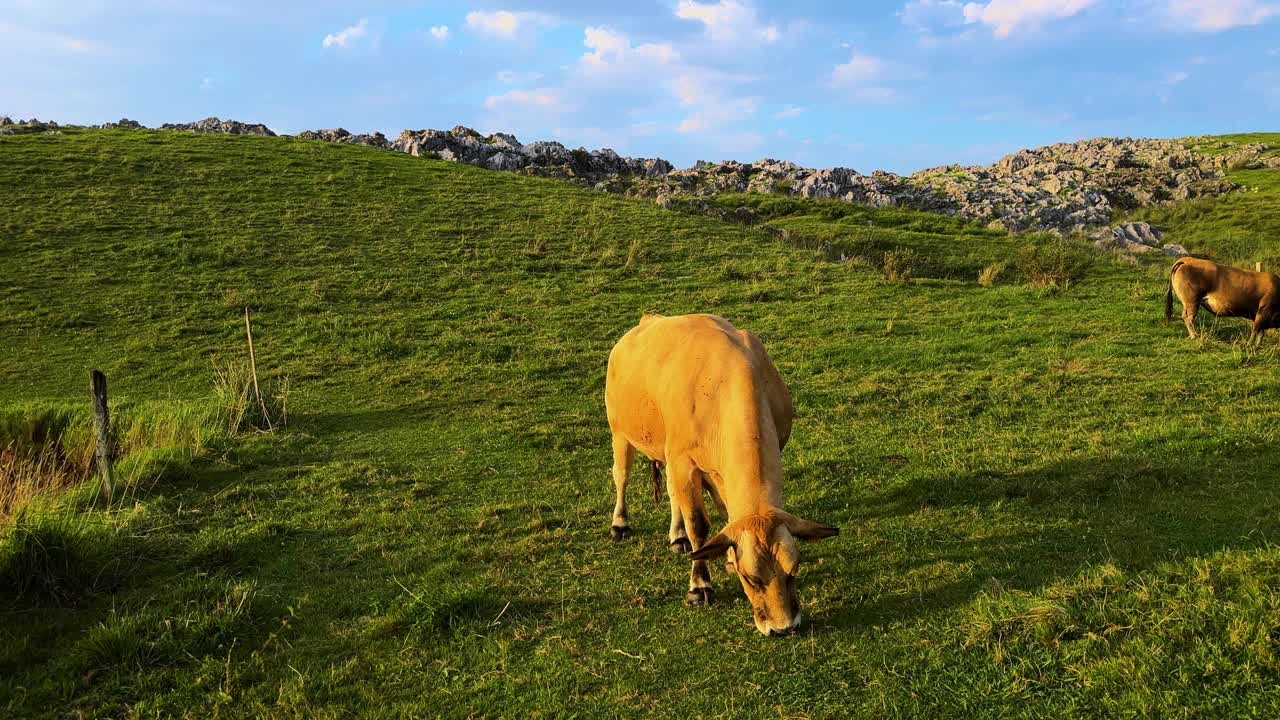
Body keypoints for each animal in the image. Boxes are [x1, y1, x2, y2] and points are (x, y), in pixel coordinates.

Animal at [601, 312, 834, 632]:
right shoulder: (684, 462)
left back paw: (677, 536)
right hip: (620, 431)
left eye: (793, 570)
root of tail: (647, 319)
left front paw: (724, 555)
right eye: (751, 578)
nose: (783, 627)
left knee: (673, 493)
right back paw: (621, 523)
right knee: (621, 475)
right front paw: (699, 585)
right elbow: (699, 524)